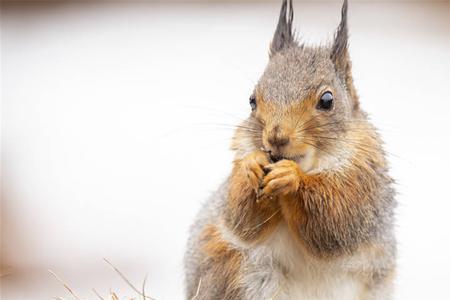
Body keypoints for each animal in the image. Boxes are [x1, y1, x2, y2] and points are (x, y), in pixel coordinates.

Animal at [185, 1, 396, 298]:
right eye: (252, 100)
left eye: (327, 100)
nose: (276, 136)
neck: (311, 165)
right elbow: (241, 221)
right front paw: (251, 166)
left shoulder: (365, 183)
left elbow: (337, 223)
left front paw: (292, 179)